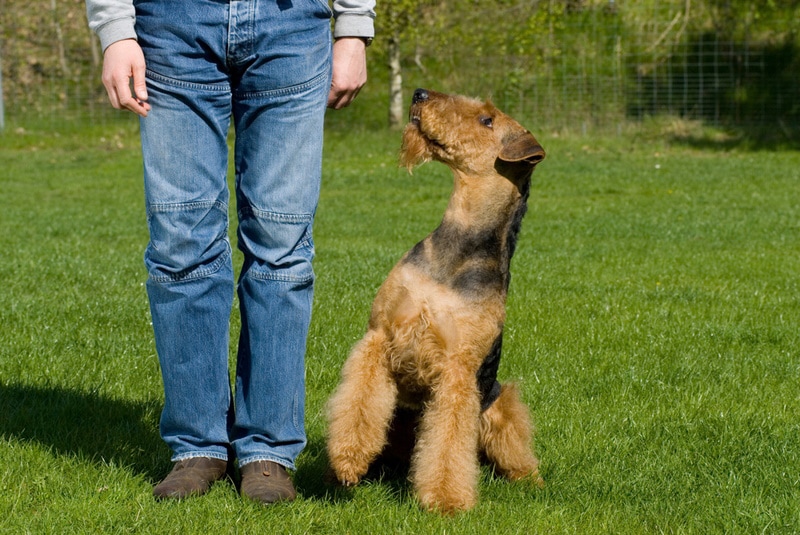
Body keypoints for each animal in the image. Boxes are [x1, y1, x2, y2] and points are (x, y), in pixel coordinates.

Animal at [324, 89, 544, 516]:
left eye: (488, 120)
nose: (420, 93)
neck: (456, 251)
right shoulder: (379, 336)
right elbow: (357, 405)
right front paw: (346, 461)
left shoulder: (457, 372)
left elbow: (447, 442)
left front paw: (445, 500)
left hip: (499, 406)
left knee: (518, 456)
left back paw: (533, 483)